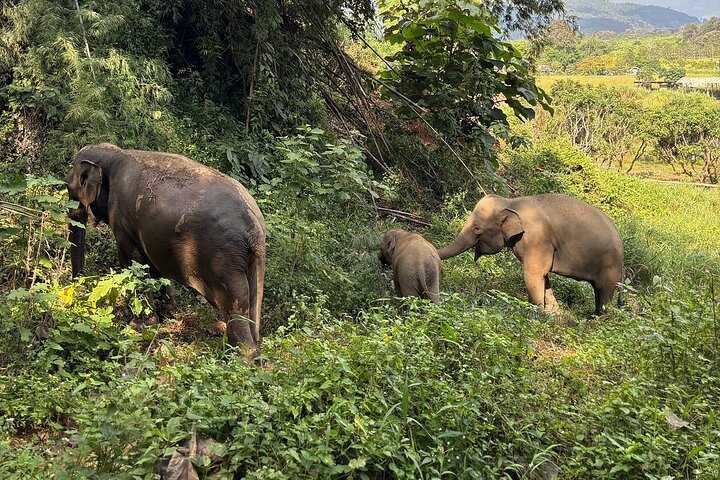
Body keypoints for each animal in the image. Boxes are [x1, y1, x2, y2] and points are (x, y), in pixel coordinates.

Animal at [65, 143, 266, 358]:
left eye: (69, 186)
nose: (79, 291)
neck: (117, 153)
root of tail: (254, 227)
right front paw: (168, 314)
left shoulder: (122, 217)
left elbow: (133, 261)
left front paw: (139, 325)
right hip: (250, 259)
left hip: (223, 259)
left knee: (235, 298)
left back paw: (240, 356)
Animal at [438, 194, 623, 315]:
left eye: (477, 229)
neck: (512, 203)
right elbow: (542, 276)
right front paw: (553, 313)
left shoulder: (537, 239)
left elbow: (532, 274)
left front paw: (536, 313)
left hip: (609, 265)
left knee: (604, 293)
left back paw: (598, 319)